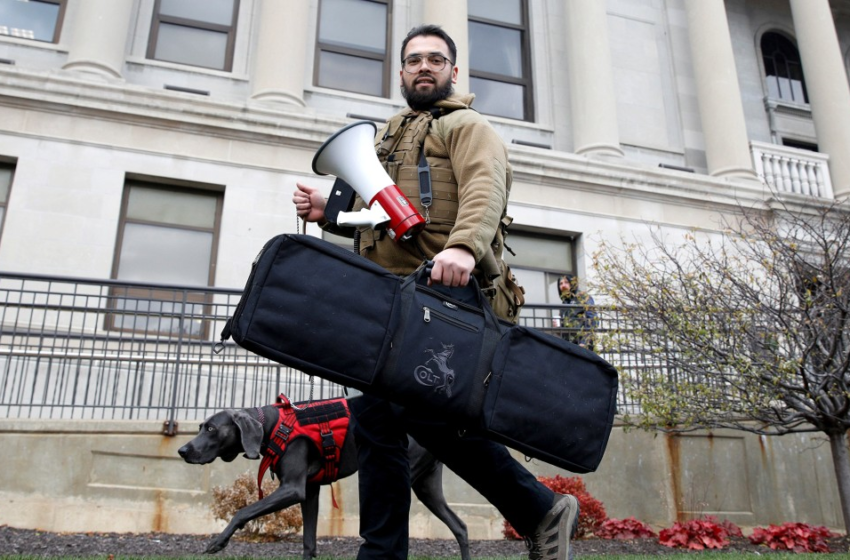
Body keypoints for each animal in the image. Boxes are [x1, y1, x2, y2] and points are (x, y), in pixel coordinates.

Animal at [180, 404, 470, 556]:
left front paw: (218, 541)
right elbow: (309, 542)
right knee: (460, 527)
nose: (182, 450)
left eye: (211, 428)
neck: (274, 425)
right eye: (200, 426)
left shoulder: (292, 488)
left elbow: (243, 511)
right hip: (427, 486)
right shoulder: (310, 491)